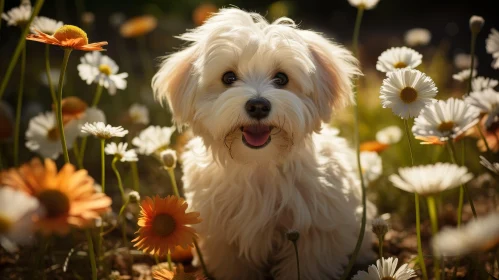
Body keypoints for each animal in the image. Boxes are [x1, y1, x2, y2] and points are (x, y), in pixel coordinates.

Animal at [152, 8, 376, 280]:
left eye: (281, 78)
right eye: (228, 77)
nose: (258, 105)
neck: (259, 164)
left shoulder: (315, 233)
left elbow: (306, 266)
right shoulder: (222, 239)